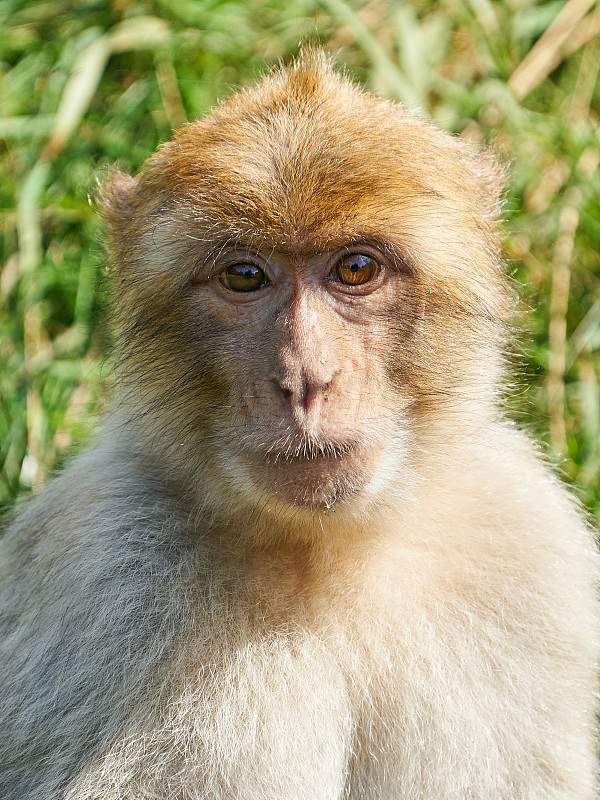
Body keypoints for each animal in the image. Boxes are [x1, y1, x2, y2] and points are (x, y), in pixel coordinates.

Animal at [0, 50, 596, 800]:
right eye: (245, 276)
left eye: (357, 268)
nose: (305, 380)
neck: (325, 551)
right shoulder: (100, 563)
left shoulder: (531, 544)